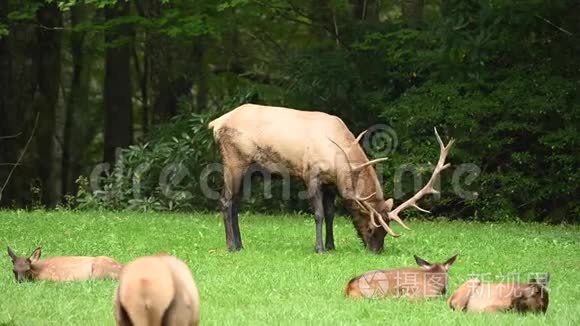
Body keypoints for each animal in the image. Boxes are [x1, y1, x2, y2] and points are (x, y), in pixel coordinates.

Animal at [208, 104, 458, 252]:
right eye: (371, 227)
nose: (377, 250)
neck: (338, 161)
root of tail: (215, 123)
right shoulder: (311, 175)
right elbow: (318, 213)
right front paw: (319, 248)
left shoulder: (330, 184)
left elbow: (330, 214)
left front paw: (331, 245)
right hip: (234, 161)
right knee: (225, 200)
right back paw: (231, 246)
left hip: (251, 171)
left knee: (236, 203)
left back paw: (240, 244)